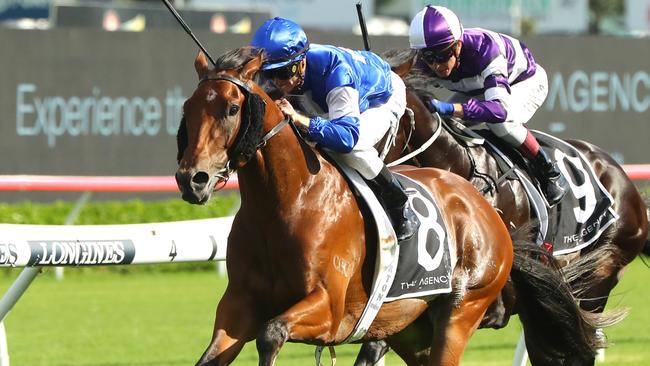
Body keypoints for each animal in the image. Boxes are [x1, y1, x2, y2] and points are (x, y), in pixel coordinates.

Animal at [173, 47, 608, 364]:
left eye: (232, 108)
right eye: (188, 109)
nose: (193, 179)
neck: (288, 201)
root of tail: (485, 209)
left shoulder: (330, 310)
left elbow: (271, 333)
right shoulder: (237, 307)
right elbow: (217, 351)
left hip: (462, 308)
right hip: (410, 327)